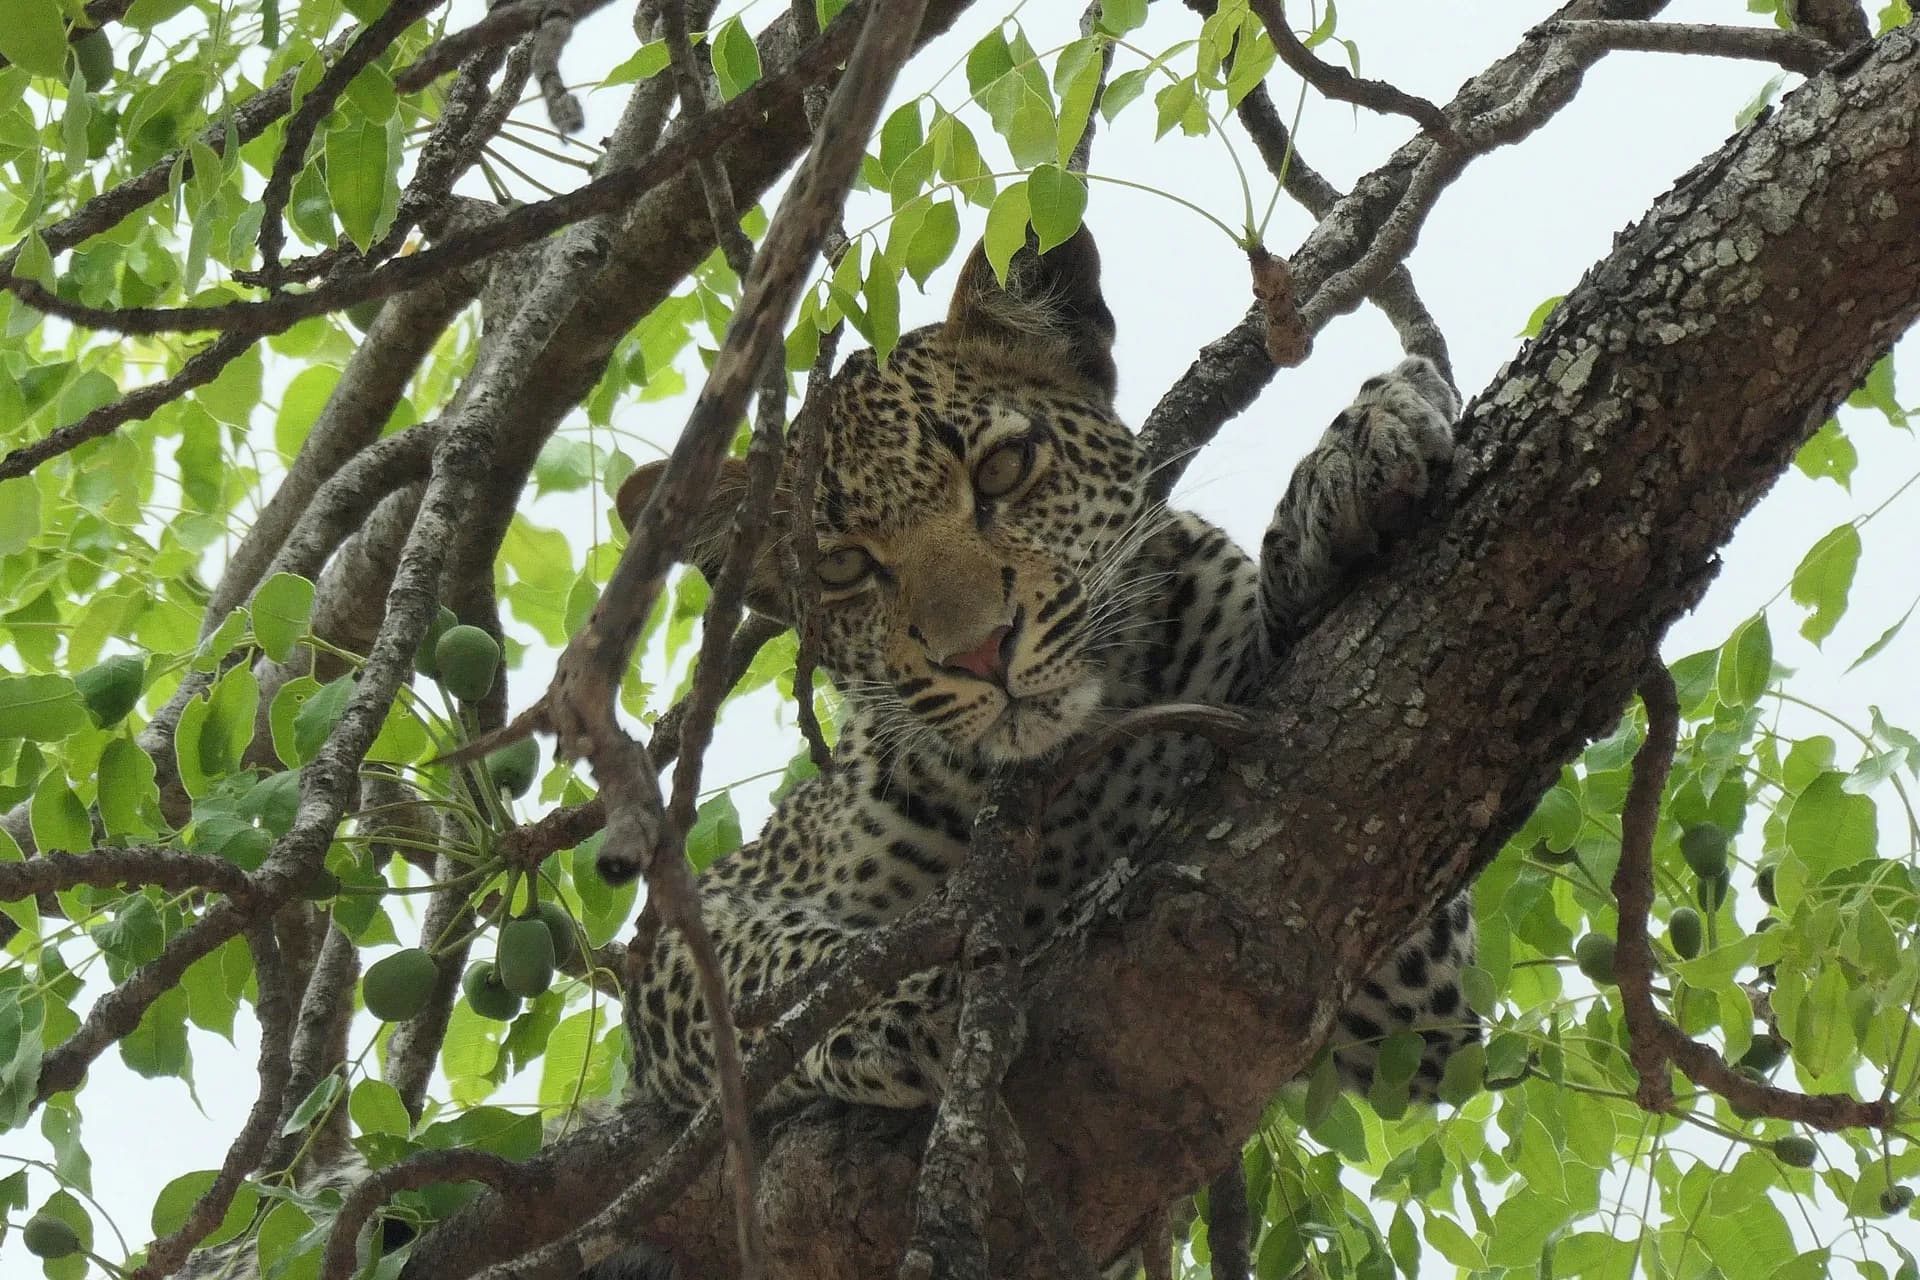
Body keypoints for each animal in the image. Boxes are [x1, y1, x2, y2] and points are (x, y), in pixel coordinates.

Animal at [605, 226, 1480, 1120]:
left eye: (1002, 468)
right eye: (842, 566)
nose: (980, 652)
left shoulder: (1408, 994)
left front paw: (1348, 461)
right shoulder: (698, 923)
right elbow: (778, 968)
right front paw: (916, 1002)